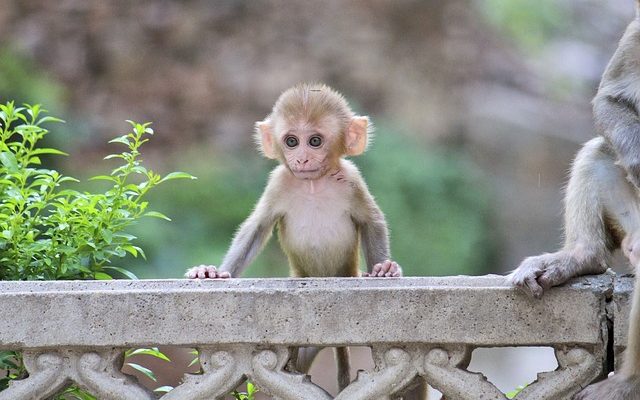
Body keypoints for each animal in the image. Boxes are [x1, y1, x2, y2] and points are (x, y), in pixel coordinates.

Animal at [188, 83, 402, 392]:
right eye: (291, 141)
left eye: (314, 141)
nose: (301, 158)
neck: (313, 184)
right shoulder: (278, 182)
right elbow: (256, 228)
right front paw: (212, 273)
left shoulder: (352, 179)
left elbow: (371, 221)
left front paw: (383, 269)